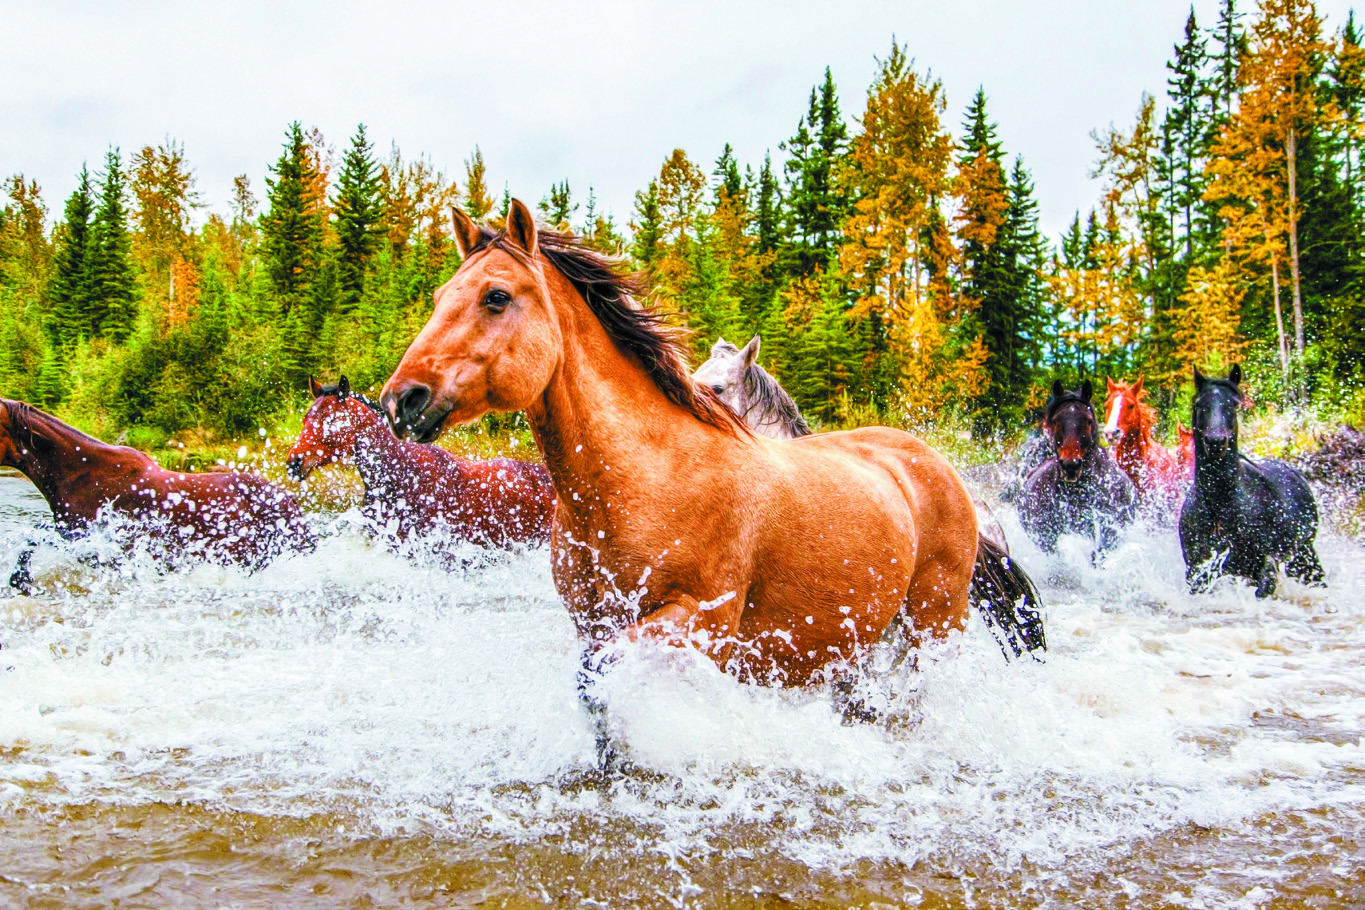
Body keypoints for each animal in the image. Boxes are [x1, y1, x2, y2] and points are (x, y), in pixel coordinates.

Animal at [1179, 365, 1324, 597]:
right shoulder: (1198, 570)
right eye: (1199, 404)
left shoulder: (1264, 564)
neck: (1220, 504)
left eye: (1233, 404)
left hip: (1304, 552)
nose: (1216, 442)